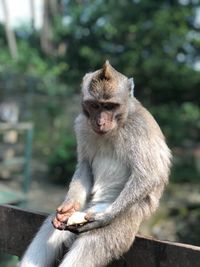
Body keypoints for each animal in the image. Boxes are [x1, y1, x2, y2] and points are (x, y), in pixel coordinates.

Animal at [19, 61, 171, 267]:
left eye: (109, 106)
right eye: (95, 105)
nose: (100, 121)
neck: (118, 124)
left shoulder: (140, 128)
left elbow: (149, 175)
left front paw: (106, 217)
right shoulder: (82, 124)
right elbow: (85, 165)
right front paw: (68, 206)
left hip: (127, 218)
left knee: (95, 238)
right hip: (88, 208)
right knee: (53, 229)